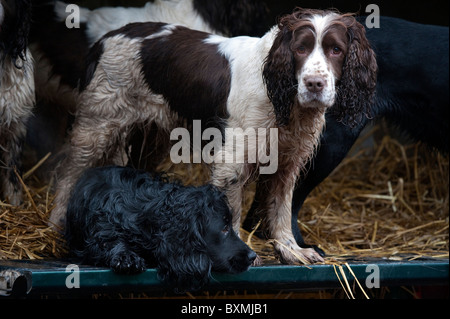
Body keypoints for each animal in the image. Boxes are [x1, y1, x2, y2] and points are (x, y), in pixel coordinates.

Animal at [51, 8, 376, 266]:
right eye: (300, 49)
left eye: (336, 50)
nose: (314, 83)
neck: (280, 96)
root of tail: (104, 40)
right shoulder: (231, 162)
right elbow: (231, 213)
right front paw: (244, 254)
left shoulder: (287, 160)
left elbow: (281, 209)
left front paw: (291, 250)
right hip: (97, 125)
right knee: (68, 175)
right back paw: (56, 228)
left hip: (151, 138)